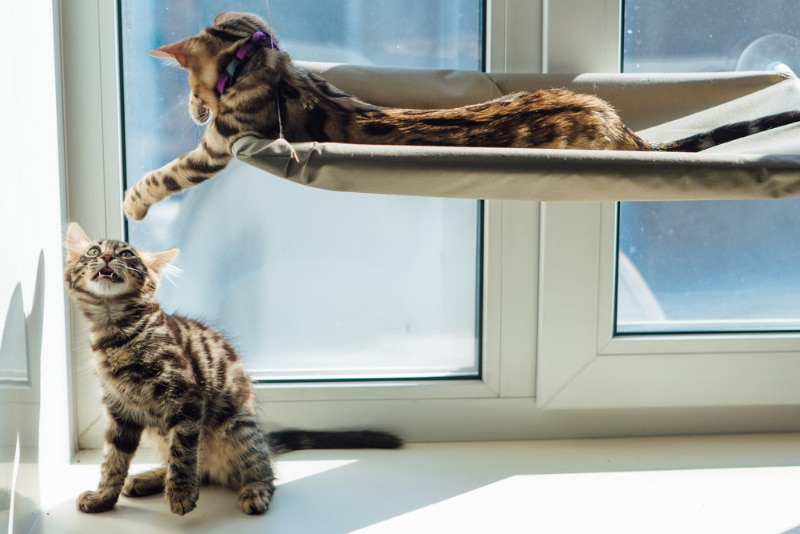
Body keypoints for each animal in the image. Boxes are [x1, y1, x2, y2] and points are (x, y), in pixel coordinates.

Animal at [64, 224, 400, 516]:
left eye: (126, 254)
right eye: (93, 251)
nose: (107, 257)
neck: (117, 333)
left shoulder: (186, 398)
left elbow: (183, 453)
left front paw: (181, 494)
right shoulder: (119, 412)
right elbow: (113, 462)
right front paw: (104, 498)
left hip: (238, 425)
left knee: (260, 470)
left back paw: (254, 491)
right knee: (198, 468)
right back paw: (148, 478)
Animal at [120, 12, 800, 222]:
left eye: (191, 88)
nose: (192, 107)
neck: (268, 65)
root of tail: (619, 124)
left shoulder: (222, 142)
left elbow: (167, 174)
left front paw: (132, 203)